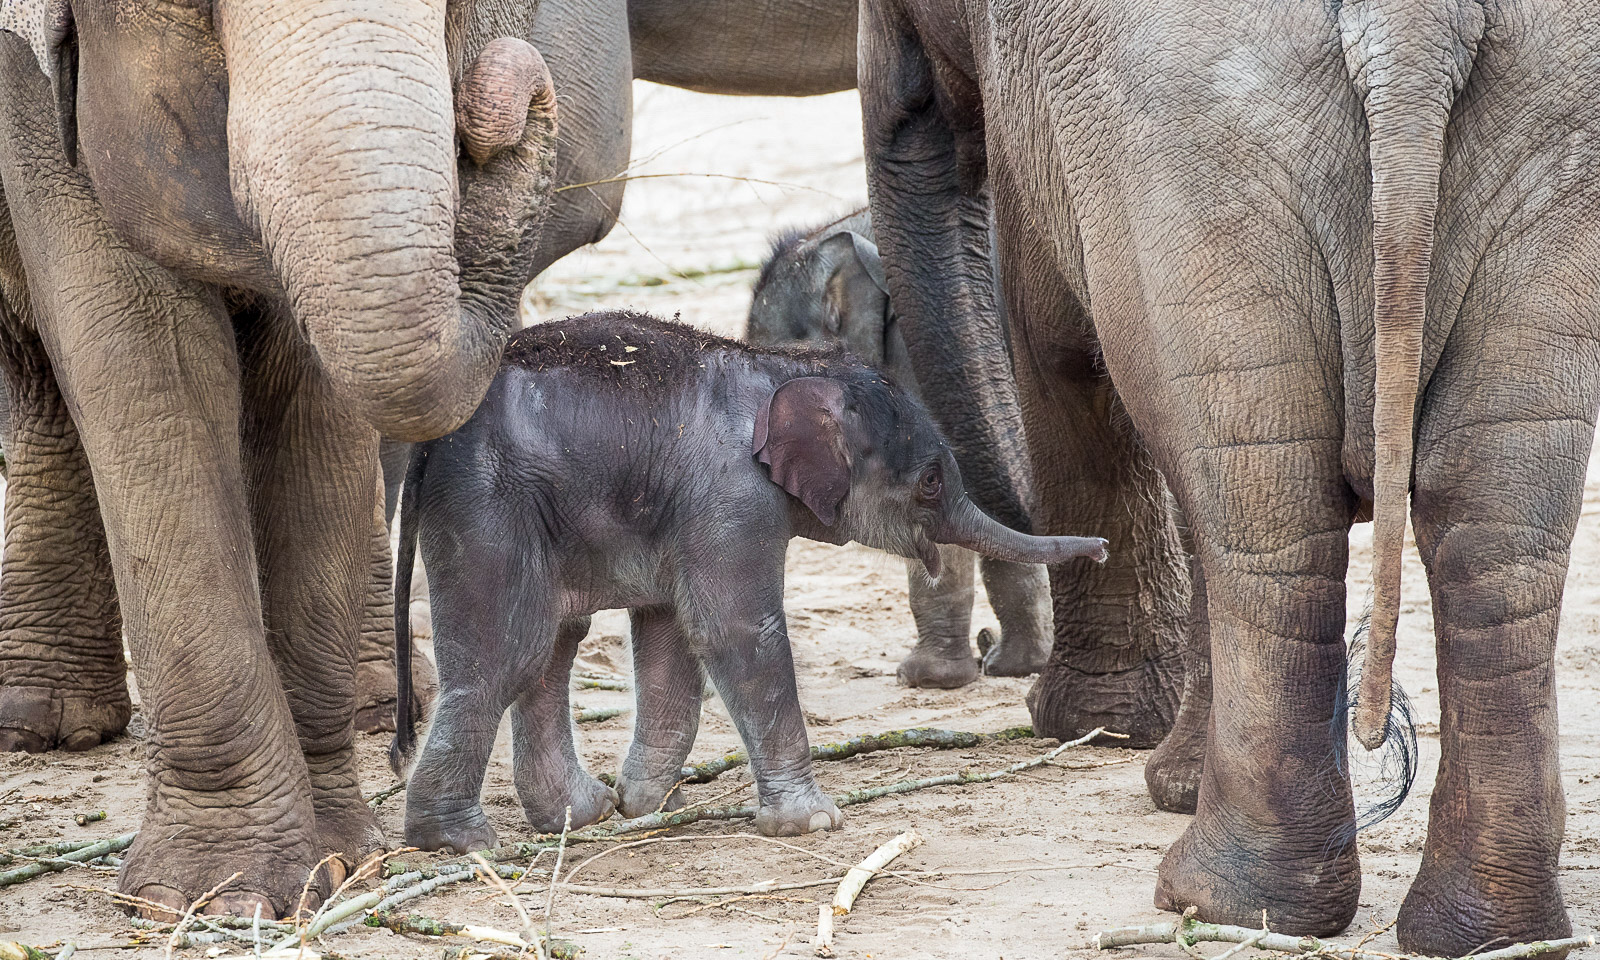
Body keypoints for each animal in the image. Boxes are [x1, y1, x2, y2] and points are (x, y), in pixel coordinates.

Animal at [0, 0, 563, 921]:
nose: (507, 86)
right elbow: (137, 357)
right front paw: (216, 895)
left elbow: (314, 394)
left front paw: (342, 863)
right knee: (36, 366)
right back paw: (38, 722)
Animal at [393, 312, 1107, 851]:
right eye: (931, 481)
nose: (1101, 549)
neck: (784, 365)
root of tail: (426, 444)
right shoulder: (732, 497)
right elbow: (736, 633)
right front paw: (813, 824)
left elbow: (672, 636)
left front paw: (643, 803)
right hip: (487, 509)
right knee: (508, 656)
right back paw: (460, 843)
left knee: (552, 648)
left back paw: (580, 813)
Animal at [870, 0, 1600, 953]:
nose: (993, 653)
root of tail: (1413, 31)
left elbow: (1060, 349)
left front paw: (1096, 732)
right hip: (1540, 156)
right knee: (1485, 533)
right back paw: (1480, 931)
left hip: (1199, 159)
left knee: (1268, 520)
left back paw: (1213, 900)